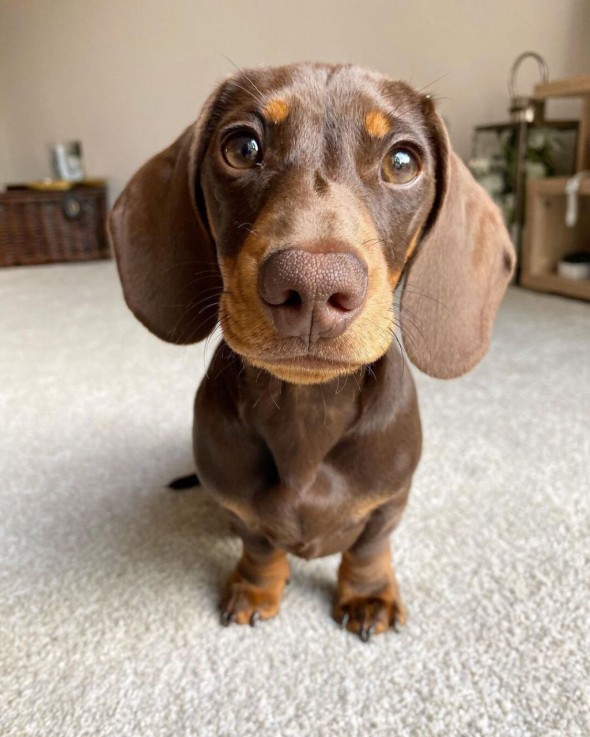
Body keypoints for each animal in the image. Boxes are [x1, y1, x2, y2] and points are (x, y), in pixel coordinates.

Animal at [108, 61, 516, 640]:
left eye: (402, 161)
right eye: (242, 147)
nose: (314, 286)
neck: (307, 408)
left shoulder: (390, 502)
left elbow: (368, 549)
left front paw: (367, 595)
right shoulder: (241, 508)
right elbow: (260, 547)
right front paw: (257, 588)